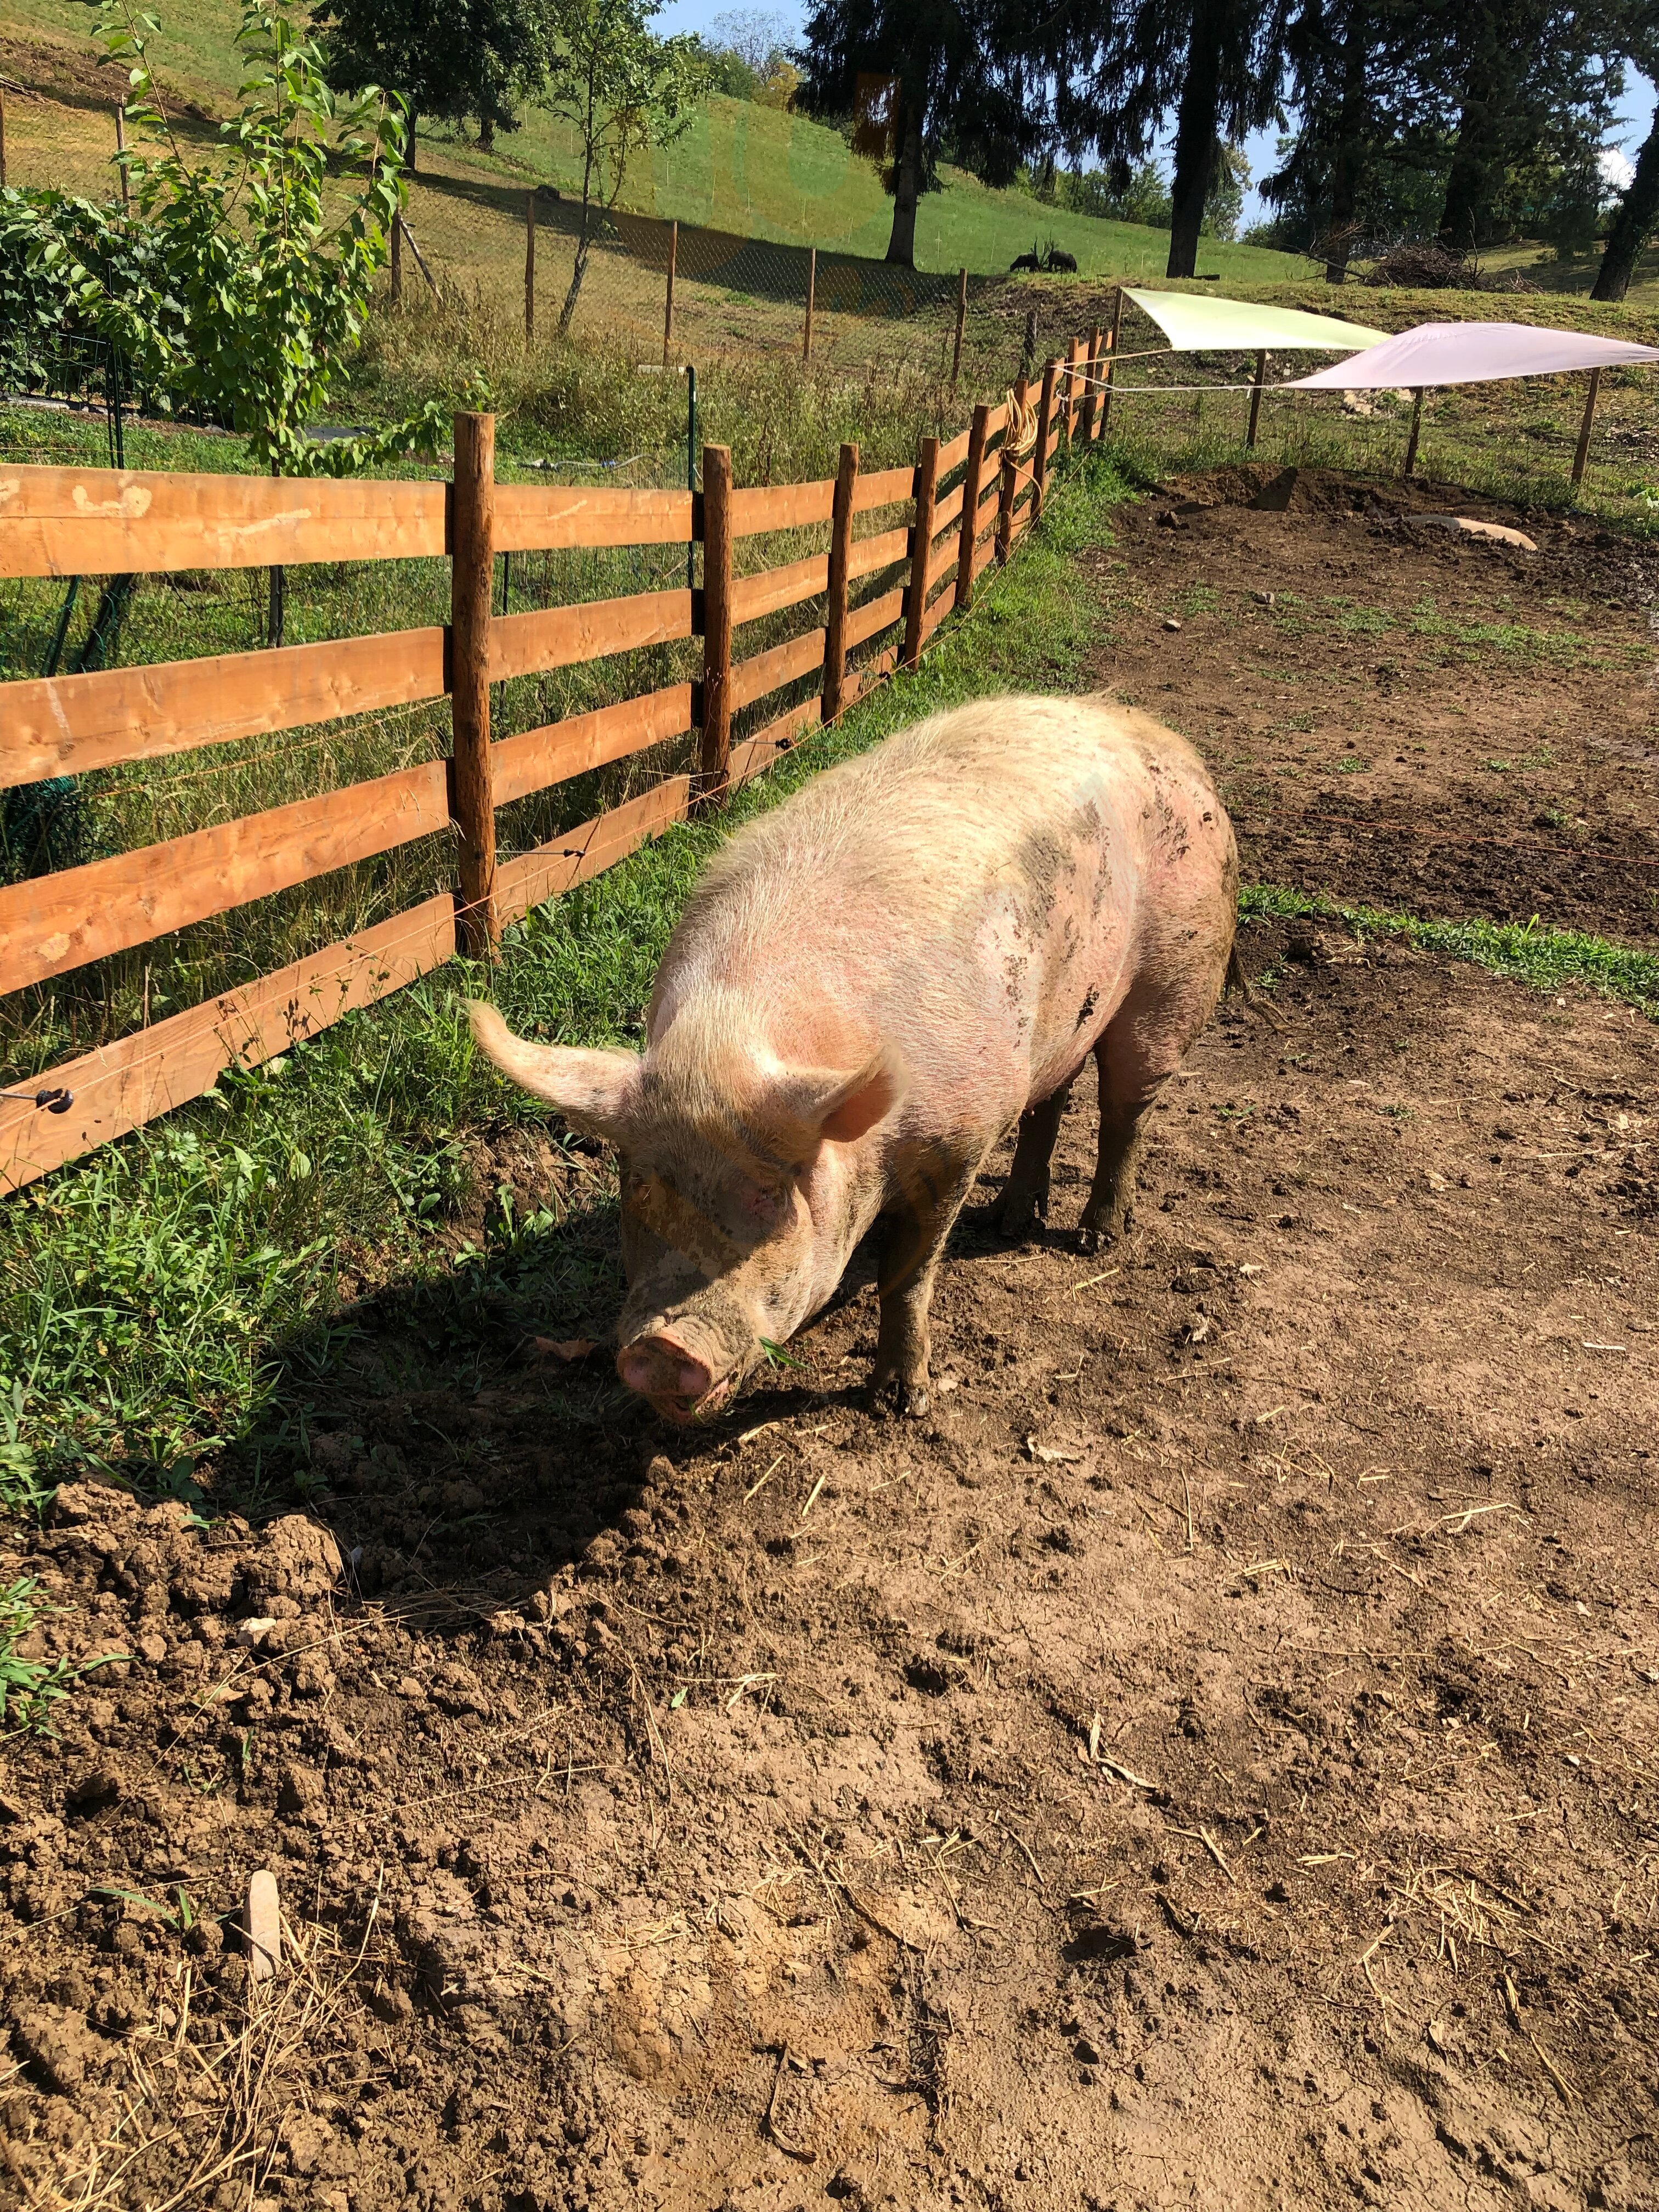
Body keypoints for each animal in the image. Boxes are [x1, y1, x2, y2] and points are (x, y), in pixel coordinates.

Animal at [464, 695, 1238, 1415]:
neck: (732, 1036)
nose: (660, 1348)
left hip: (1180, 969)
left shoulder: (961, 1136)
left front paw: (901, 1403)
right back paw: (1009, 1222)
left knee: (1126, 1109)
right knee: (1052, 1102)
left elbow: (909, 1276)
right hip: (1066, 1020)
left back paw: (1095, 1240)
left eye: (769, 1193)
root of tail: (1159, 734)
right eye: (641, 1187)